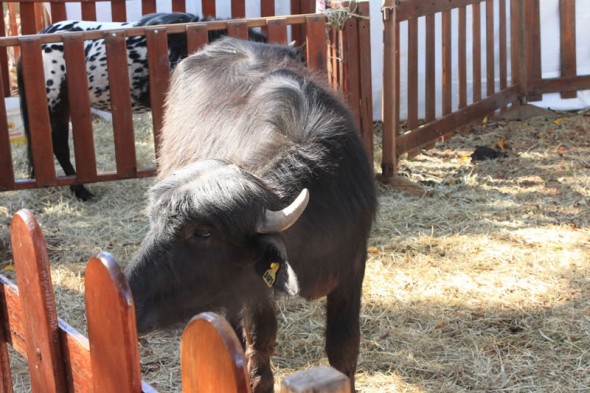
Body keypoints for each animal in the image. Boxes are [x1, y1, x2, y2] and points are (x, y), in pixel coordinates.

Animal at [126, 36, 380, 392]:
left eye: (202, 232)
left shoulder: (353, 266)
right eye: (156, 222)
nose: (130, 298)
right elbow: (260, 350)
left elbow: (343, 347)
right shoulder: (253, 289)